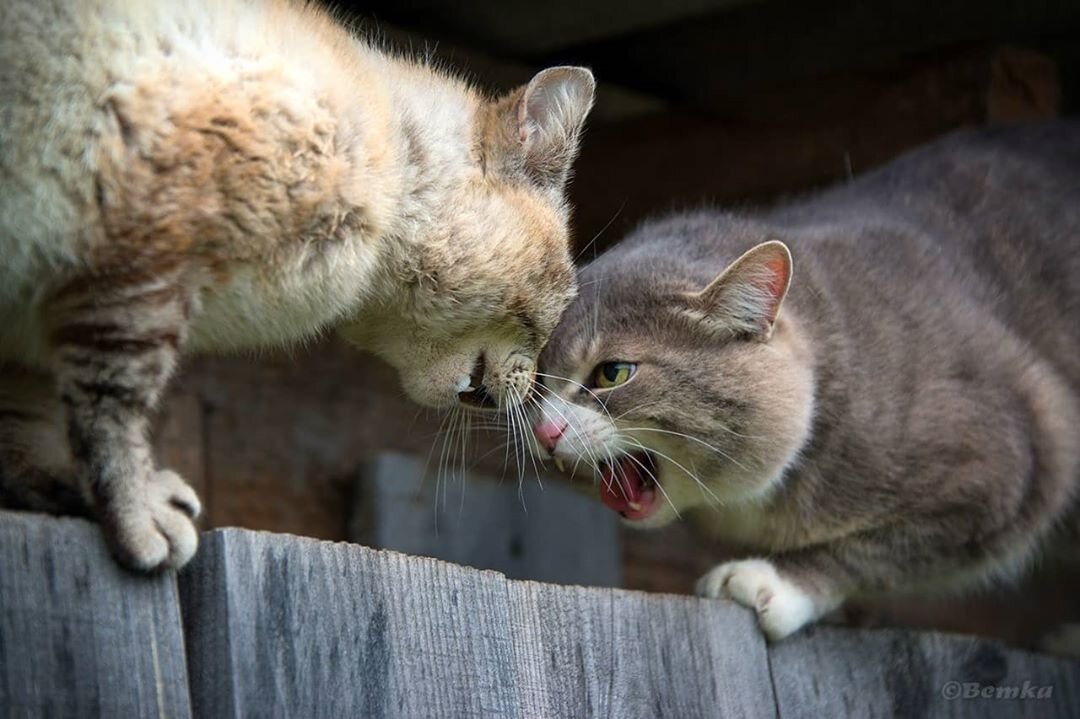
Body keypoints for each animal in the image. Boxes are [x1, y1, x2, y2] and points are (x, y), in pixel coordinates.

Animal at [0, 1, 596, 570]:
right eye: (560, 303)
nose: (532, 389)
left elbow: (32, 422)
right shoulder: (138, 263)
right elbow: (114, 404)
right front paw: (137, 513)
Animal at [531, 120, 1080, 639]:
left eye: (613, 373)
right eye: (538, 373)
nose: (544, 431)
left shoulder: (1014, 463)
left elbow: (877, 551)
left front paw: (774, 582)